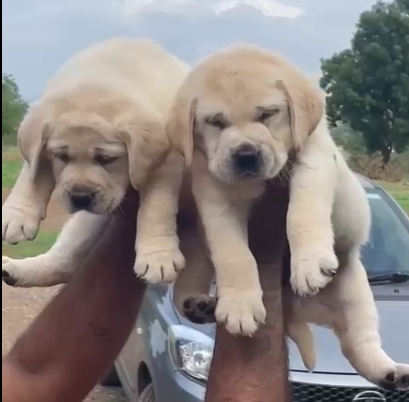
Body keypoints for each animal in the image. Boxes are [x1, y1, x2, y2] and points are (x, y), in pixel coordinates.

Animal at [0, 37, 186, 288]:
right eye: (62, 156)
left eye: (106, 159)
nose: (80, 197)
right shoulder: (40, 144)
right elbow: (32, 174)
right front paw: (15, 217)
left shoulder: (166, 163)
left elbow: (157, 206)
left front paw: (158, 257)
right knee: (65, 259)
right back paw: (14, 269)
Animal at [164, 43, 406, 390]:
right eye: (215, 122)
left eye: (268, 114)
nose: (246, 154)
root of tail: (298, 312)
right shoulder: (213, 193)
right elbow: (233, 253)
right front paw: (240, 304)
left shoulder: (314, 158)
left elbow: (301, 212)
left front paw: (308, 265)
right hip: (197, 251)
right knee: (185, 285)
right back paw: (199, 304)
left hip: (356, 291)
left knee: (358, 341)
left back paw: (389, 371)